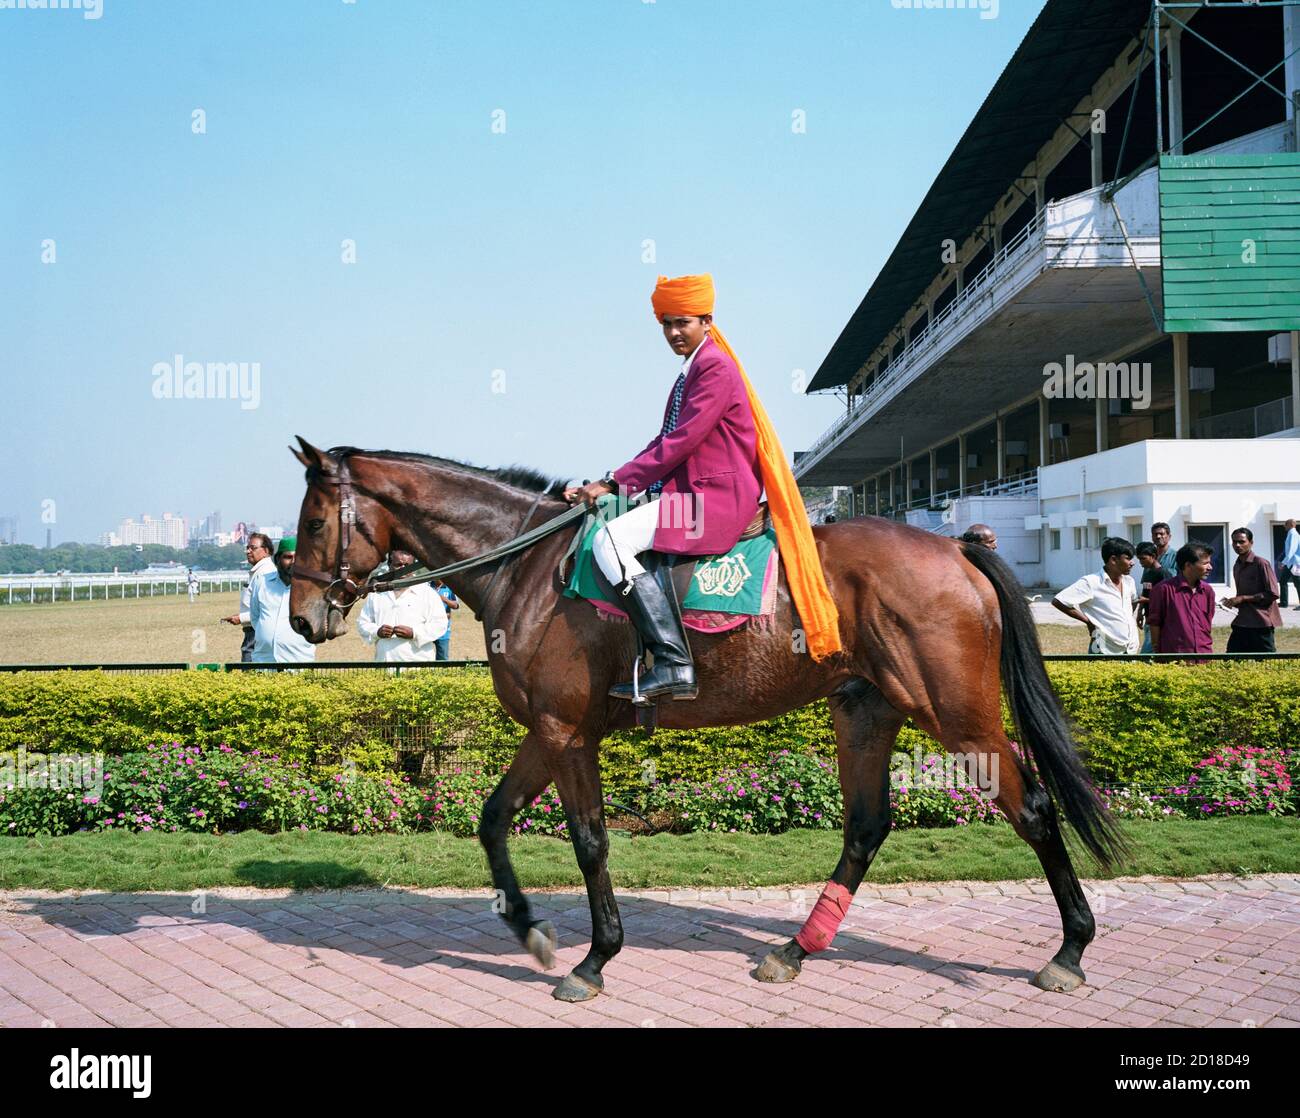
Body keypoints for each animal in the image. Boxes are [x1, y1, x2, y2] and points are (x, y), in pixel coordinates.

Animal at [287, 437, 1124, 1004]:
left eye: (317, 520)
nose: (300, 617)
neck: (526, 566)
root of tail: (955, 546)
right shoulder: (550, 733)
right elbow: (494, 821)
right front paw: (533, 932)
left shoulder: (564, 733)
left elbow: (588, 842)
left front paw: (594, 958)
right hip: (866, 709)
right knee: (865, 826)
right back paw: (794, 949)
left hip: (959, 717)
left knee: (1033, 807)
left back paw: (1070, 950)